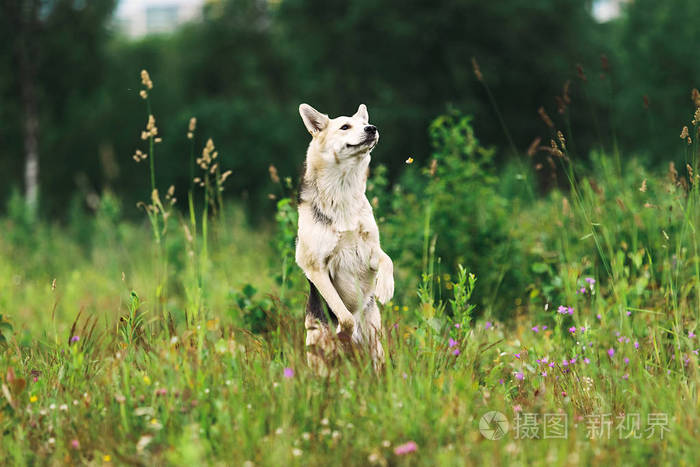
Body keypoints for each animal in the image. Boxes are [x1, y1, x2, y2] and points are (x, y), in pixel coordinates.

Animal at [296, 103, 394, 372]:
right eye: (345, 126)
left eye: (364, 124)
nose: (372, 128)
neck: (342, 190)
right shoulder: (315, 268)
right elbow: (345, 316)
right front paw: (344, 335)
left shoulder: (369, 252)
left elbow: (388, 260)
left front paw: (385, 287)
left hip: (377, 347)